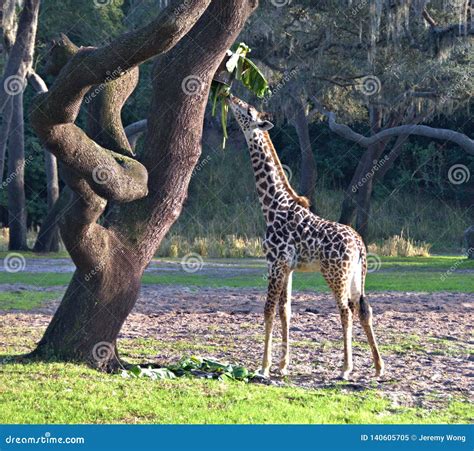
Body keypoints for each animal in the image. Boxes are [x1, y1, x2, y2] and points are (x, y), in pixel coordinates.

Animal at [226, 94, 386, 382]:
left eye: (248, 110)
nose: (230, 95)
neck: (272, 205)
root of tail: (359, 244)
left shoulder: (275, 263)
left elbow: (268, 310)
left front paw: (264, 367)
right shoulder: (288, 267)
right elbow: (285, 311)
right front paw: (282, 365)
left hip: (335, 273)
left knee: (346, 310)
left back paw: (346, 369)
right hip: (357, 275)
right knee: (364, 309)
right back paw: (378, 367)